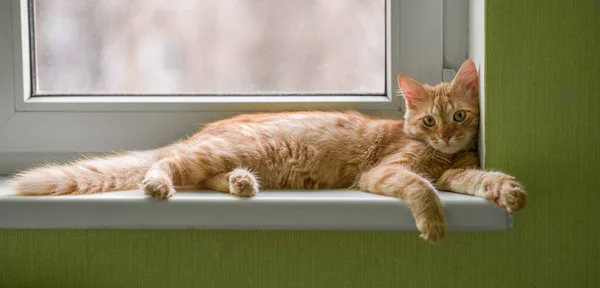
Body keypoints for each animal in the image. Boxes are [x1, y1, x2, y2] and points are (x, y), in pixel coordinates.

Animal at [9, 59, 524, 243]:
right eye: (429, 121)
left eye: (459, 116)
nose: (446, 137)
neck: (442, 156)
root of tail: (204, 132)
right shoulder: (387, 173)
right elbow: (422, 190)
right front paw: (434, 224)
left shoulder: (455, 173)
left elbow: (481, 180)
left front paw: (509, 191)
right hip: (216, 151)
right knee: (164, 165)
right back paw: (159, 185)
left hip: (229, 158)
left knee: (204, 176)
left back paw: (241, 183)